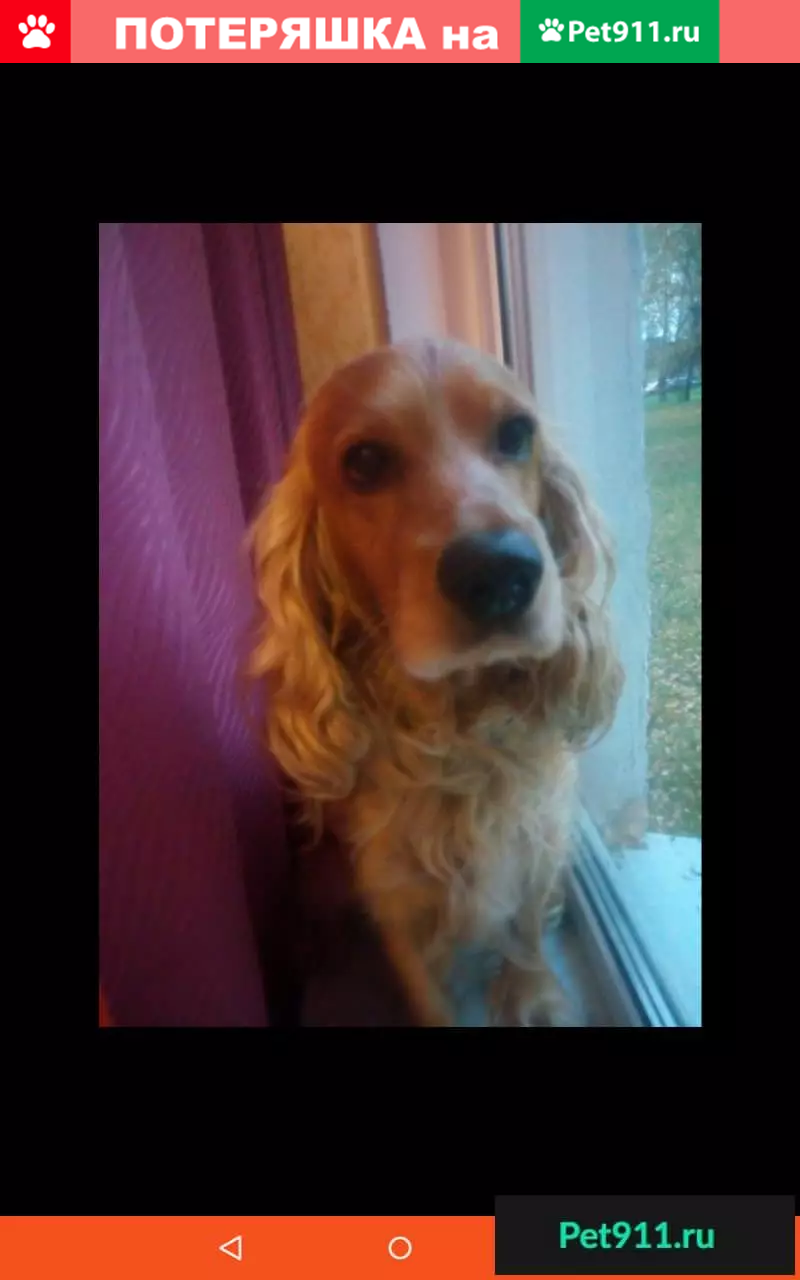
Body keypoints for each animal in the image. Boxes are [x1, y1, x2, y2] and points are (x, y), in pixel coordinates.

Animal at [249, 337, 623, 1026]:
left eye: (516, 432)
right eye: (365, 461)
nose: (501, 571)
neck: (461, 734)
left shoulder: (539, 837)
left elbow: (529, 928)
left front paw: (532, 994)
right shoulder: (396, 899)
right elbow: (428, 997)